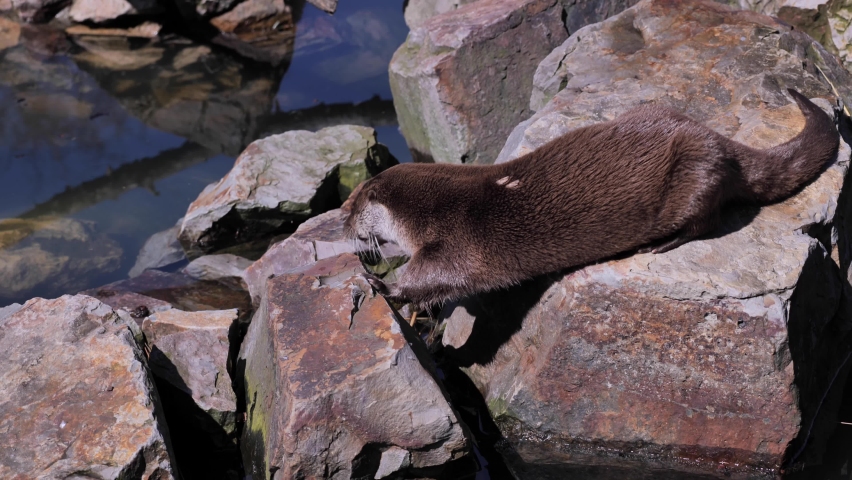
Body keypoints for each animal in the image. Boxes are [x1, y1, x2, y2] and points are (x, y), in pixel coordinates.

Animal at [344, 89, 839, 307]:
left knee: (706, 220)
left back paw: (662, 243)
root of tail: (716, 139)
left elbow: (438, 276)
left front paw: (385, 285)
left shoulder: (460, 241)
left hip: (697, 171)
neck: (433, 209)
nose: (343, 223)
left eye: (352, 205)